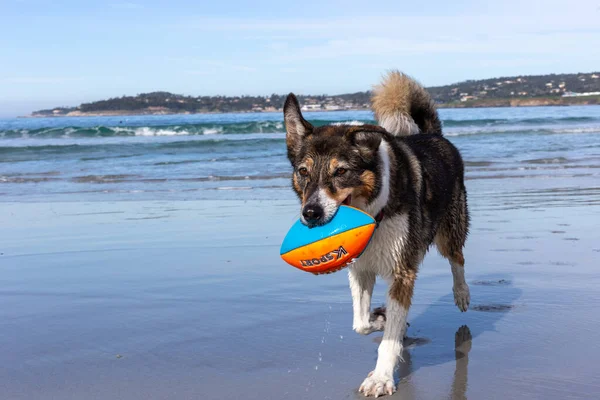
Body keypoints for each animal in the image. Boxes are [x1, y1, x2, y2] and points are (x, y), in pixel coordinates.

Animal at [284, 71, 472, 396]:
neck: (373, 214)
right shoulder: (360, 268)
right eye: (303, 172)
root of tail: (433, 135)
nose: (311, 213)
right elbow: (361, 323)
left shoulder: (402, 271)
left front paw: (381, 376)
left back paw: (461, 292)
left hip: (451, 225)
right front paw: (382, 318)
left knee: (456, 257)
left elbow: (388, 340)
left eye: (341, 171)